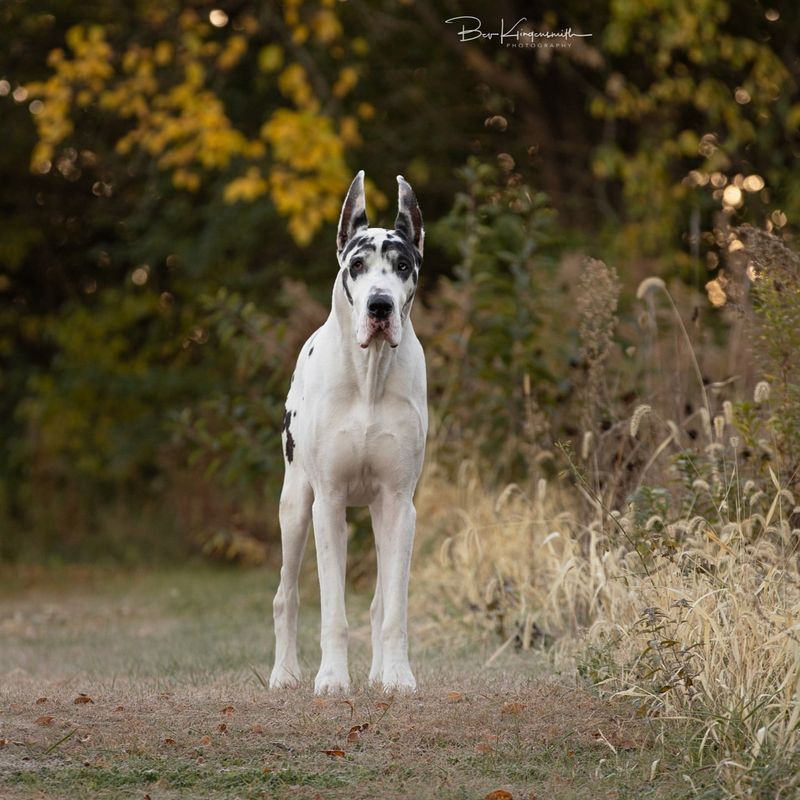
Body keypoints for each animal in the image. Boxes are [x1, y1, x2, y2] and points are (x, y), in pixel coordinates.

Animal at [268, 170, 428, 692]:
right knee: (286, 596)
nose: (380, 306)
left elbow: (393, 608)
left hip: (378, 511)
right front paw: (333, 679)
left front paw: (397, 676)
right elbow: (332, 610)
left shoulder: (400, 504)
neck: (369, 377)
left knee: (379, 603)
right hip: (294, 506)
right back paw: (284, 673)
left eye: (403, 265)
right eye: (357, 264)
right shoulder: (329, 502)